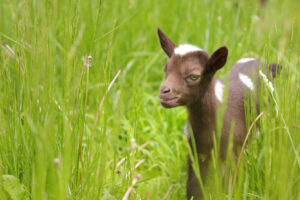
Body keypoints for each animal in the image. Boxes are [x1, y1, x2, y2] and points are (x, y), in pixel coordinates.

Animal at [158, 27, 280, 199]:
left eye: (194, 76)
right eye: (165, 69)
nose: (164, 92)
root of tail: (264, 64)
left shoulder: (233, 150)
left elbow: (229, 186)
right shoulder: (196, 149)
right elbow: (194, 186)